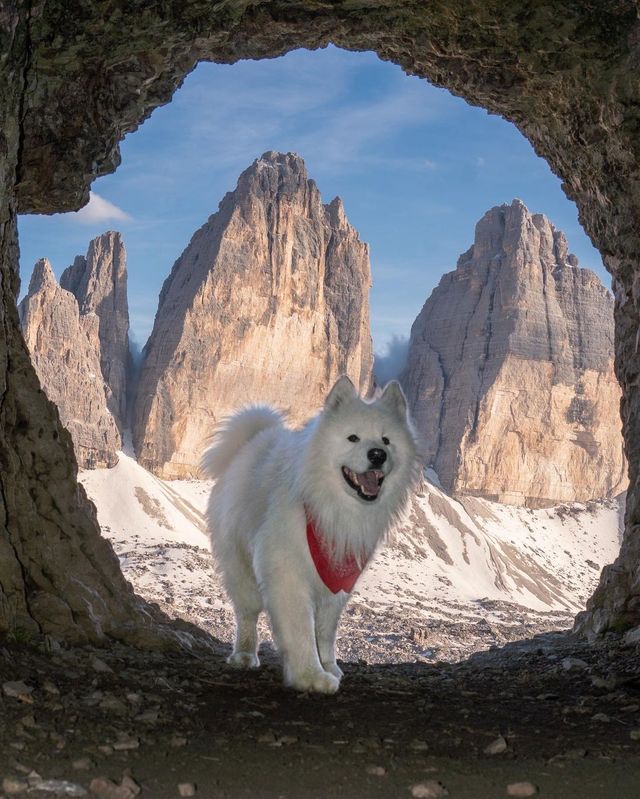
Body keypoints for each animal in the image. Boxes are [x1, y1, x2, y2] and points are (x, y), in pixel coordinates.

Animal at [201, 376, 420, 692]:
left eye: (386, 440)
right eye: (353, 438)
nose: (377, 455)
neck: (330, 505)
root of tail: (254, 441)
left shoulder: (337, 582)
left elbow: (325, 633)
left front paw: (329, 666)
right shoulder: (289, 574)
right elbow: (301, 631)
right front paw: (311, 676)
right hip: (240, 568)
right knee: (247, 614)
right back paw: (244, 654)